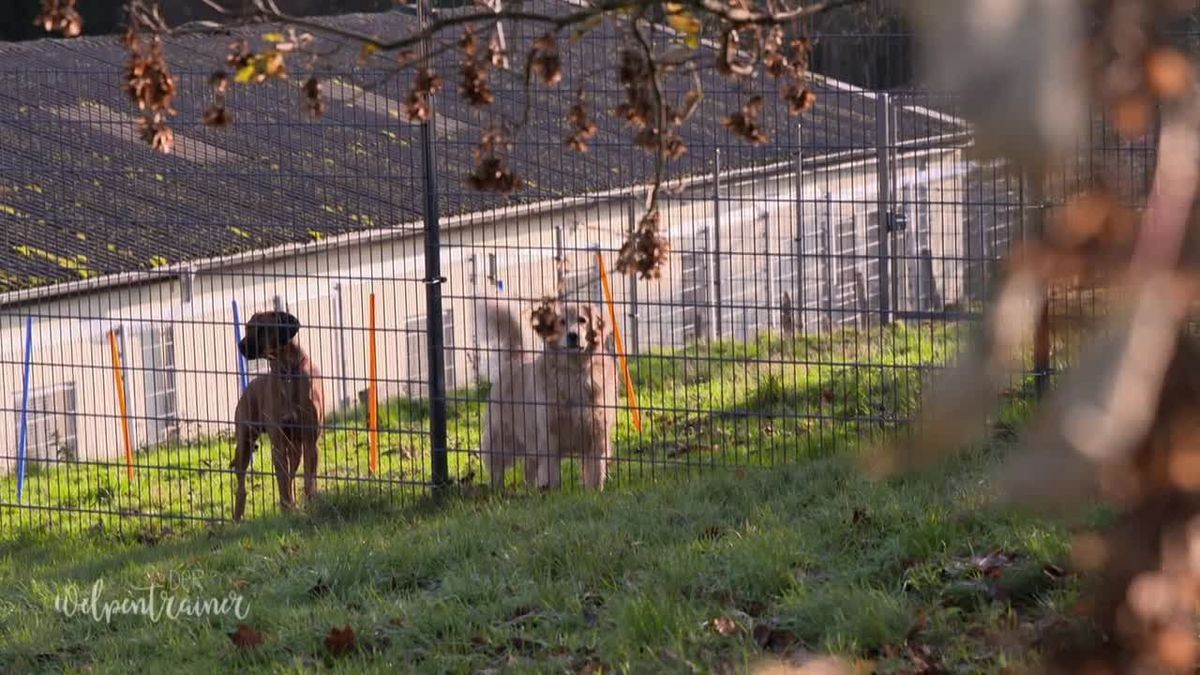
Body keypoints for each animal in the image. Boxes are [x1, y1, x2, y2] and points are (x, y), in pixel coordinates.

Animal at [228, 309, 324, 521]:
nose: (239, 345)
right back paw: (238, 516)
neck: (287, 370)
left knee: (292, 475)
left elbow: (308, 478)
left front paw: (310, 504)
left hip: (295, 449)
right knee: (241, 483)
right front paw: (287, 509)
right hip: (245, 443)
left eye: (258, 329)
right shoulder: (278, 444)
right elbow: (282, 480)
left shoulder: (309, 442)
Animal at [475, 299, 614, 487]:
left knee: (528, 469)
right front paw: (551, 491)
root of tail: (517, 358)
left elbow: (595, 475)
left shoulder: (597, 436)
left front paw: (595, 491)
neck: (574, 372)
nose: (573, 336)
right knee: (496, 465)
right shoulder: (549, 438)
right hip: (503, 436)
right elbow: (551, 475)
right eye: (562, 322)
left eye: (582, 320)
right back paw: (497, 488)